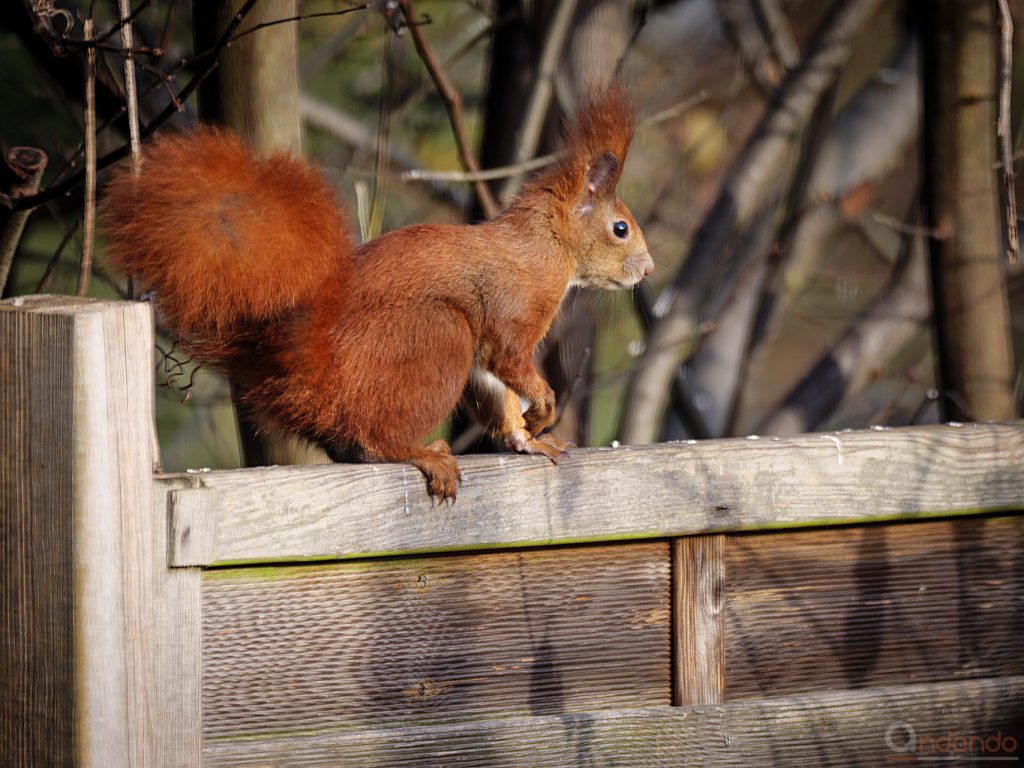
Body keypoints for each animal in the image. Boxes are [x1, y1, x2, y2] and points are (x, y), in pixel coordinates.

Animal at [101, 83, 647, 501]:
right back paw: (425, 453)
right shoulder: (512, 306)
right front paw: (545, 406)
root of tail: (318, 378)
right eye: (620, 229)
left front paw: (528, 440)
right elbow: (510, 362)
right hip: (438, 335)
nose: (647, 270)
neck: (548, 247)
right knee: (371, 442)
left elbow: (498, 393)